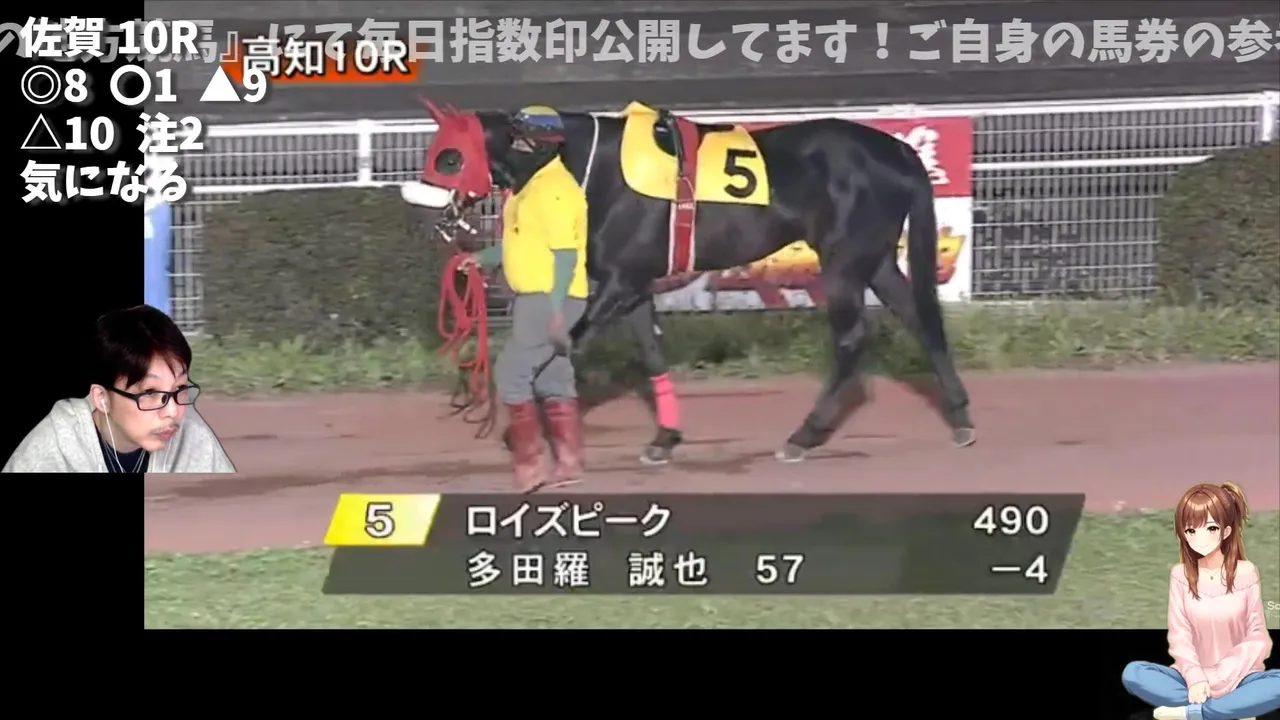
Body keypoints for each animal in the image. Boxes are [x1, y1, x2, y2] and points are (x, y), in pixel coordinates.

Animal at [400, 100, 976, 465]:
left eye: (449, 156)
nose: (424, 214)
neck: (590, 168)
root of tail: (899, 151)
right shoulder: (633, 284)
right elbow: (651, 353)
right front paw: (665, 438)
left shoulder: (619, 282)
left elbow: (567, 344)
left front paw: (530, 424)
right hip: (874, 259)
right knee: (922, 320)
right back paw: (961, 419)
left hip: (843, 260)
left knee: (854, 338)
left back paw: (803, 437)